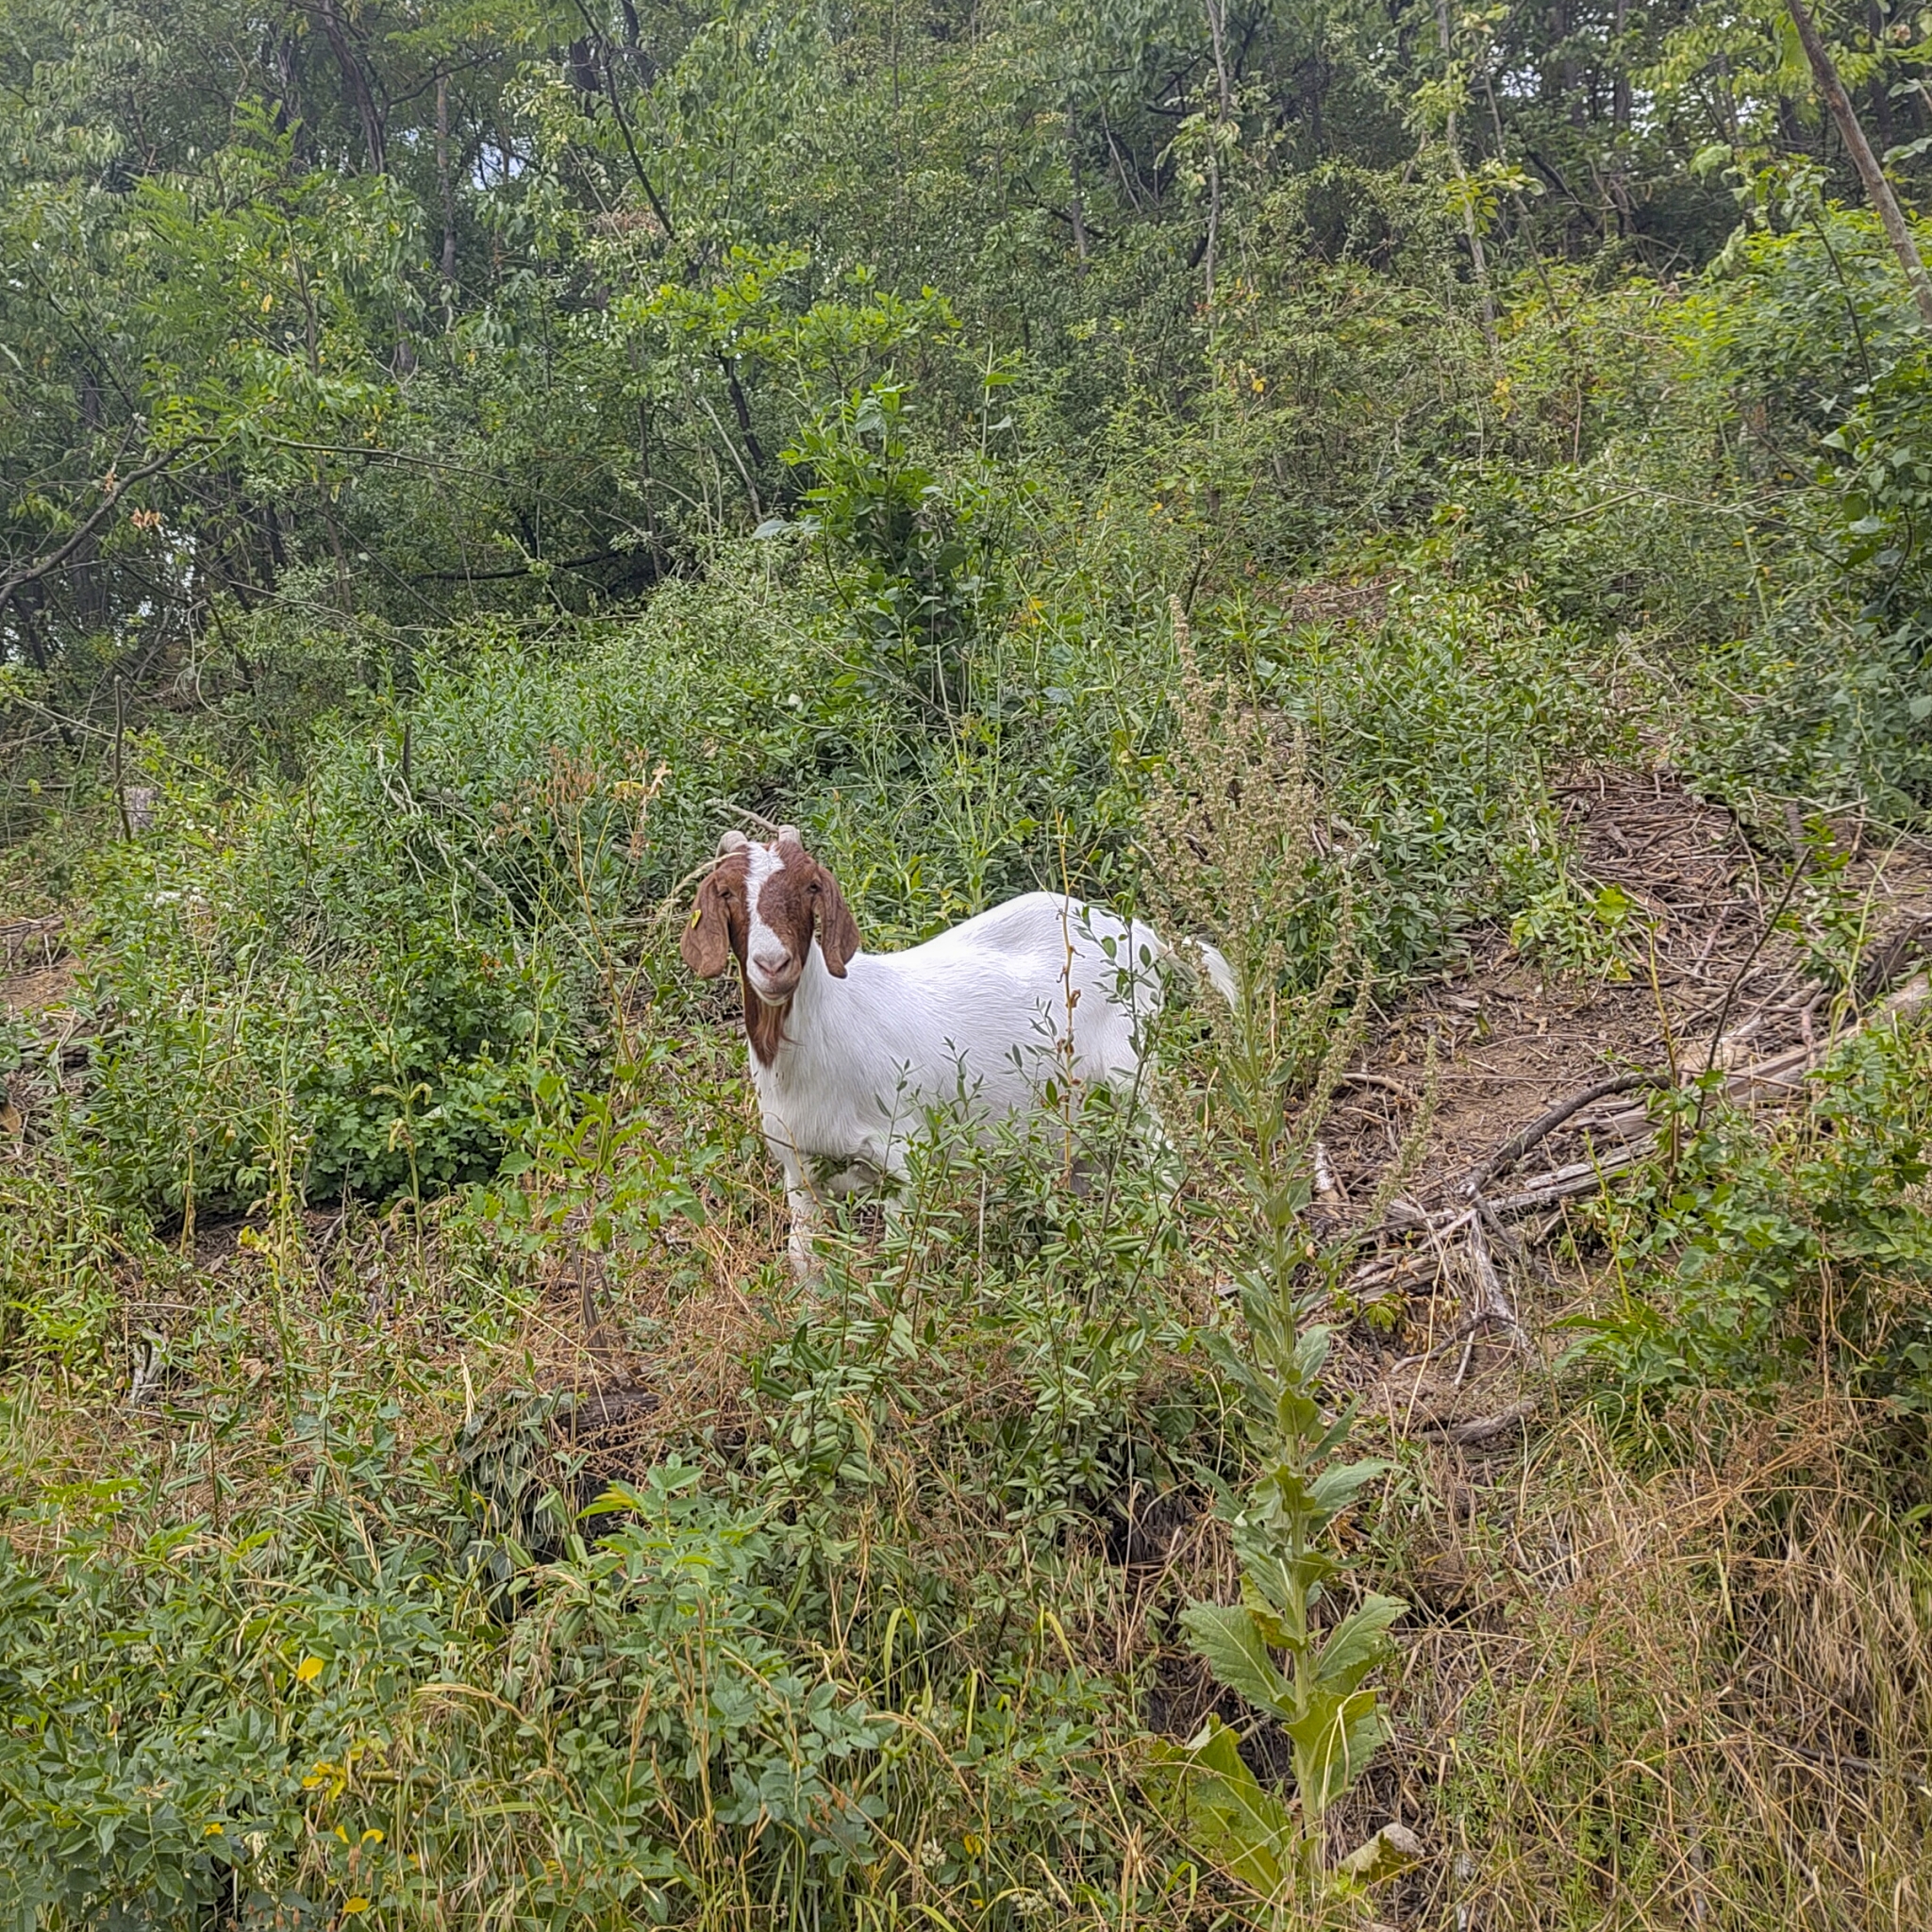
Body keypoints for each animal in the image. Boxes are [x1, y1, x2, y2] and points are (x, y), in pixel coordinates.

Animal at [682, 825, 1235, 1274]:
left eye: (810, 887)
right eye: (726, 891)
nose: (773, 965)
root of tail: (1136, 934)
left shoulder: (908, 1157)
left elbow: (895, 1257)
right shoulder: (800, 1168)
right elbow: (806, 1259)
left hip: (1131, 1071)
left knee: (1164, 1156)